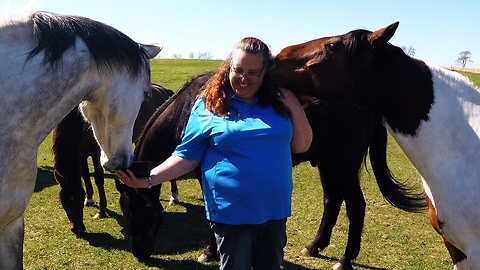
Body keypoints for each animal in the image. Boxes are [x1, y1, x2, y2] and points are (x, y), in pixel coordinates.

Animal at [53, 83, 173, 234]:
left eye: (78, 199)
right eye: (64, 202)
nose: (78, 229)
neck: (80, 123)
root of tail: (164, 90)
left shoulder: (97, 154)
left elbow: (99, 179)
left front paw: (101, 210)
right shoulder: (81, 154)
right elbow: (85, 176)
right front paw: (90, 199)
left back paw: (174, 197)